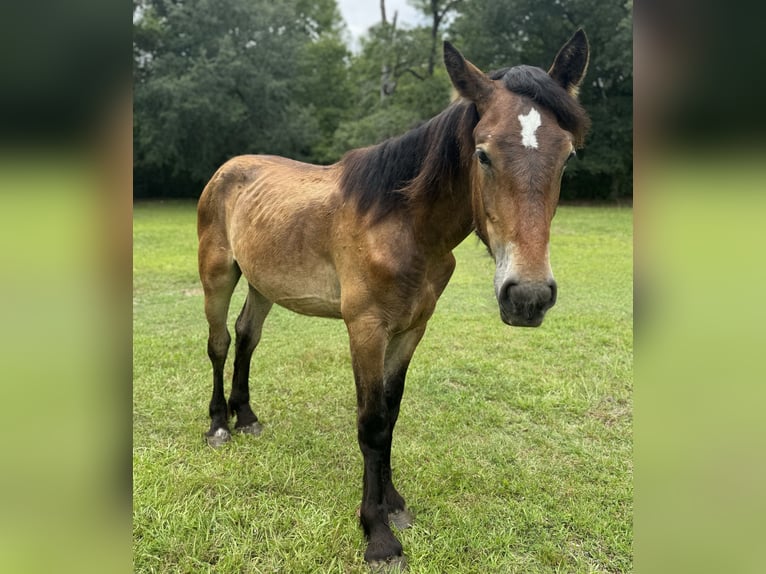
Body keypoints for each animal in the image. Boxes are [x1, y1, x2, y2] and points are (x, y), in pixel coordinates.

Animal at [200, 30, 592, 572]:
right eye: (483, 154)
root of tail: (227, 169)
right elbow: (371, 423)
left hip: (262, 285)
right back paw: (219, 425)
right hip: (217, 276)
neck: (401, 224)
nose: (528, 296)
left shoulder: (410, 330)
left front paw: (394, 505)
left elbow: (392, 414)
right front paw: (378, 535)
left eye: (567, 156)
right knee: (218, 343)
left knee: (246, 336)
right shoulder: (366, 329)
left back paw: (247, 417)